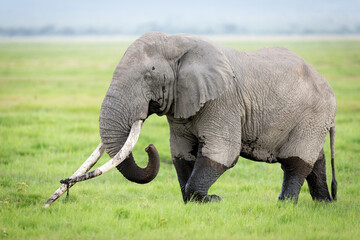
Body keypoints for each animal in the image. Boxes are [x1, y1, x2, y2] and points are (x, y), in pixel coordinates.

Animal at [45, 31, 338, 205]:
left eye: (149, 75)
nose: (61, 185)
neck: (177, 42)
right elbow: (181, 154)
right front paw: (194, 202)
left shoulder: (223, 100)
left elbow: (223, 152)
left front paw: (213, 200)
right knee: (316, 160)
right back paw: (323, 204)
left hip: (314, 115)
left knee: (296, 162)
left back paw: (284, 205)